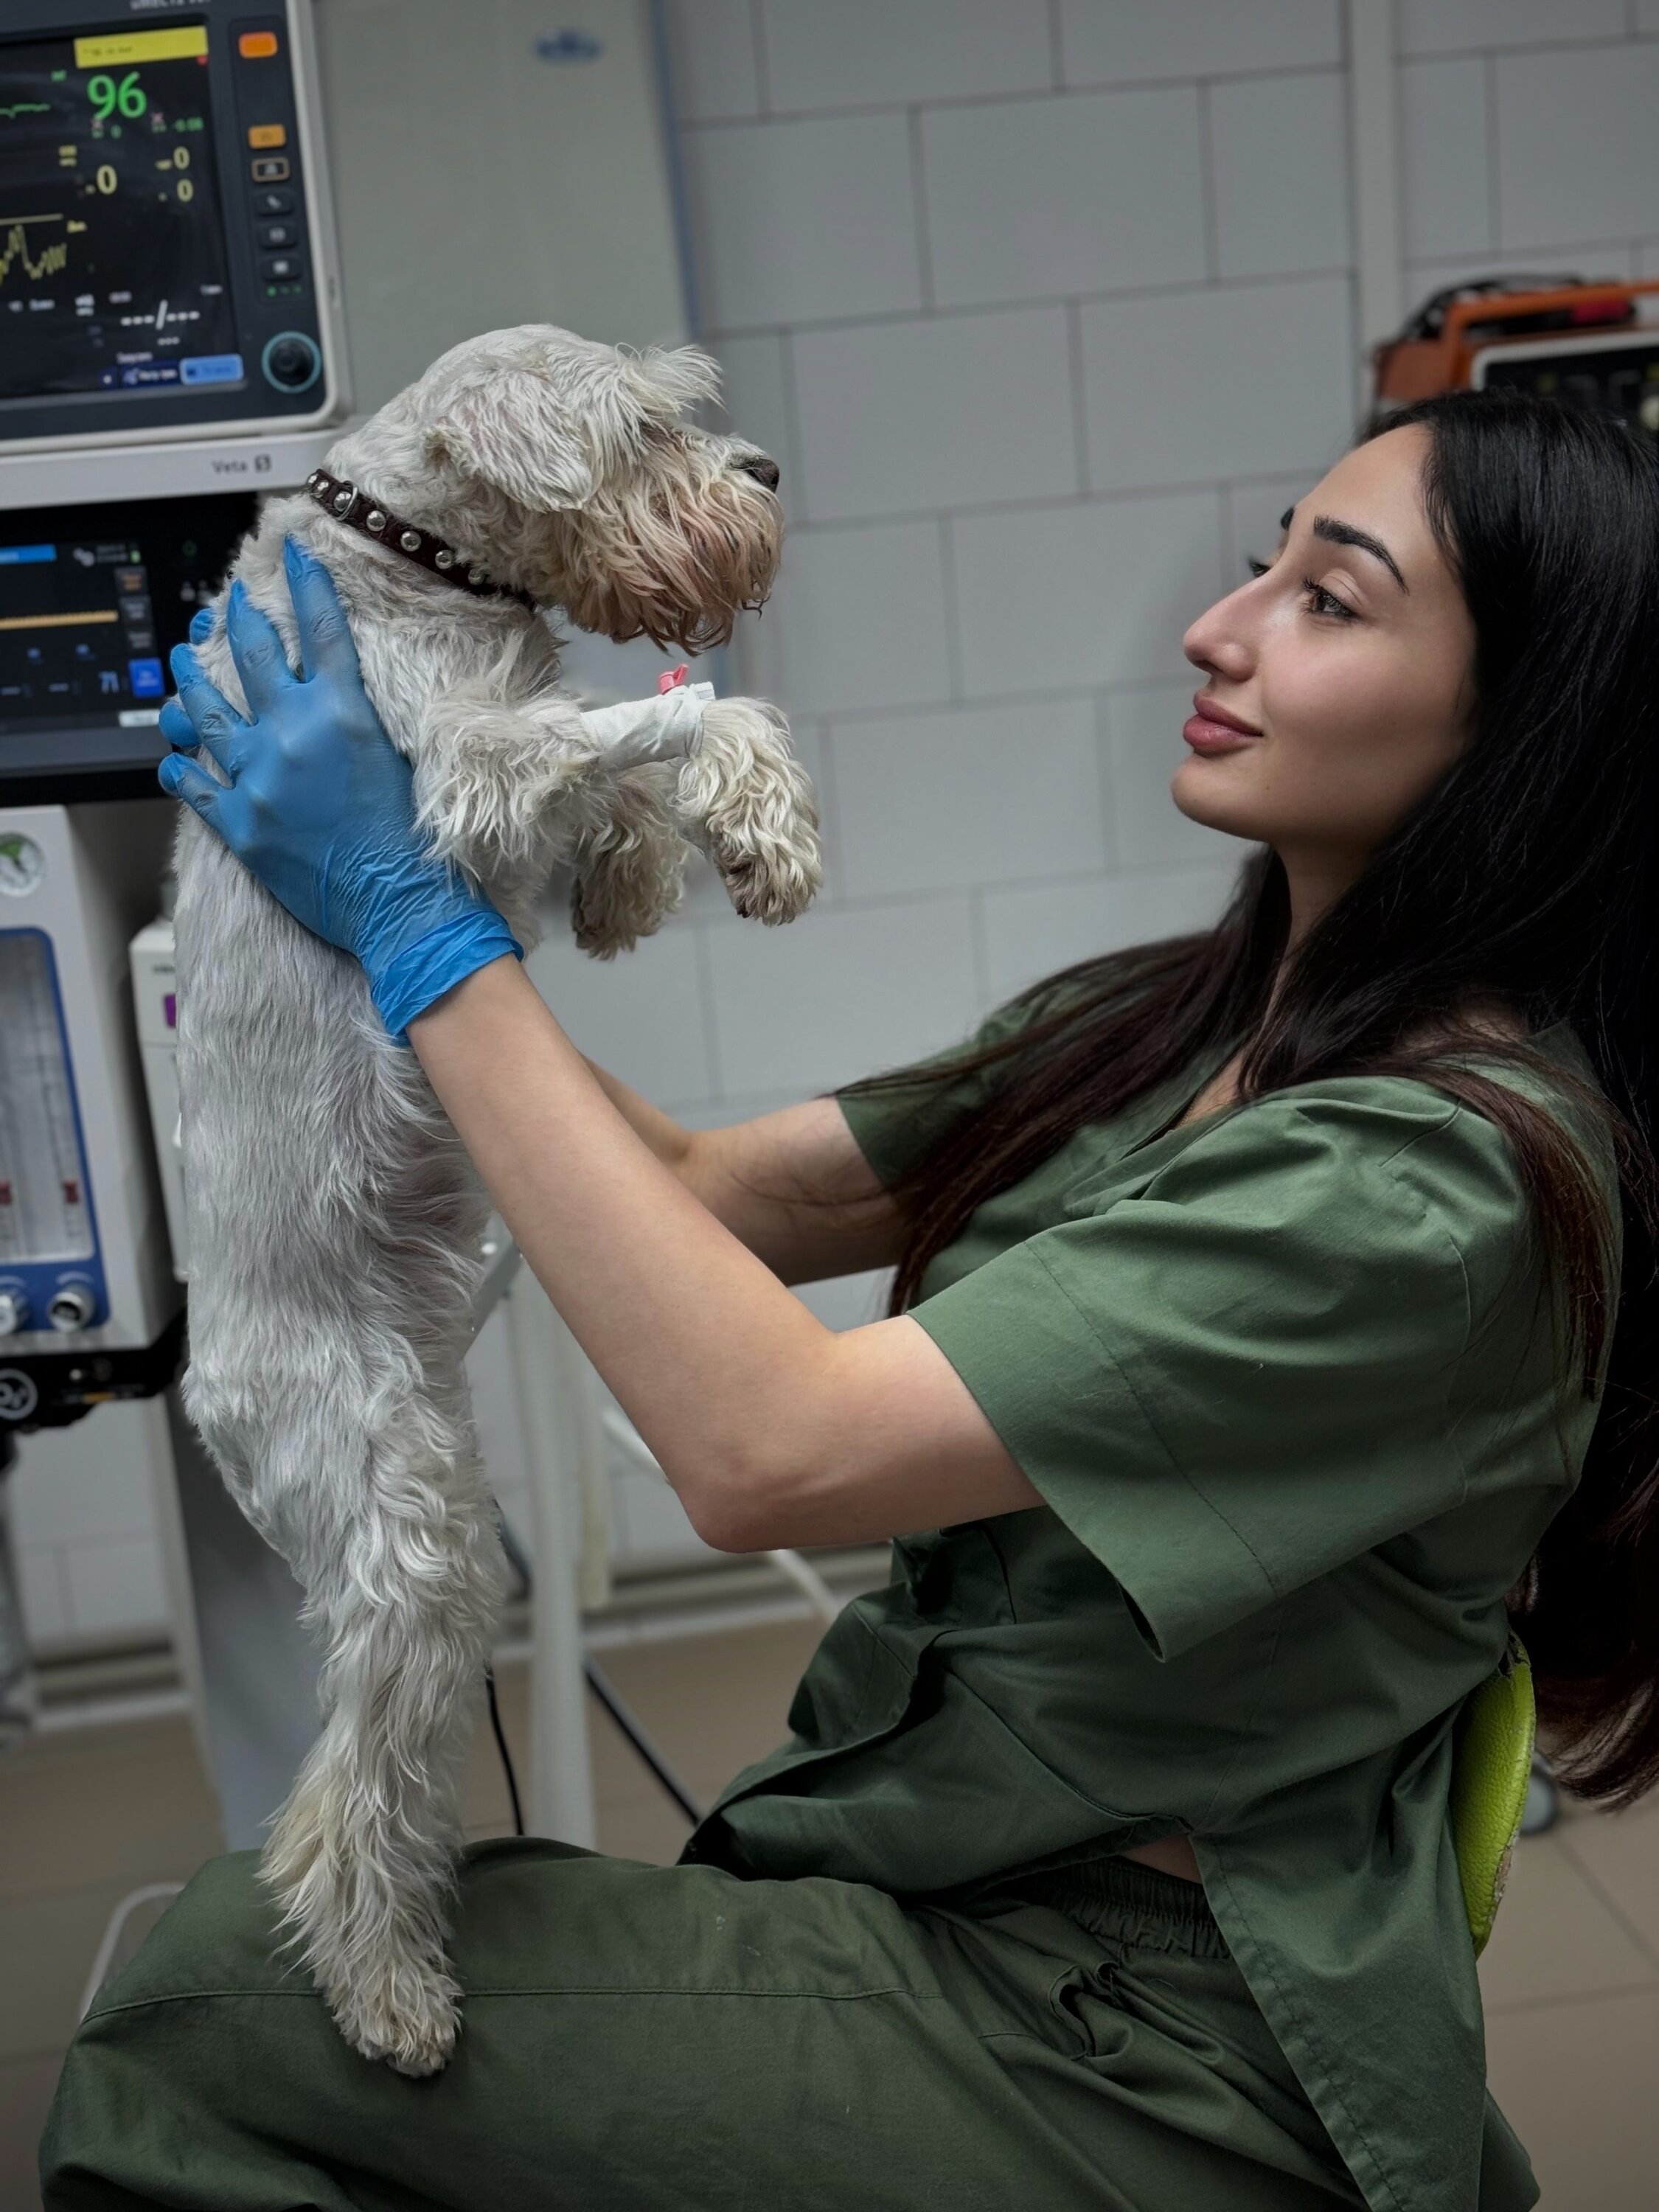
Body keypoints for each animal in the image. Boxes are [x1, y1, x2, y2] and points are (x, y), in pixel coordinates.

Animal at [173, 323, 823, 2070]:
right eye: (648, 425)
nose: (767, 472)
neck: (411, 560)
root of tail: (203, 1390)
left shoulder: (510, 763)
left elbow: (622, 791)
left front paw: (665, 872)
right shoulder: (456, 768)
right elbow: (676, 715)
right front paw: (752, 815)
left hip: (441, 1504)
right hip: (393, 1522)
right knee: (334, 1811)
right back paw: (387, 1995)